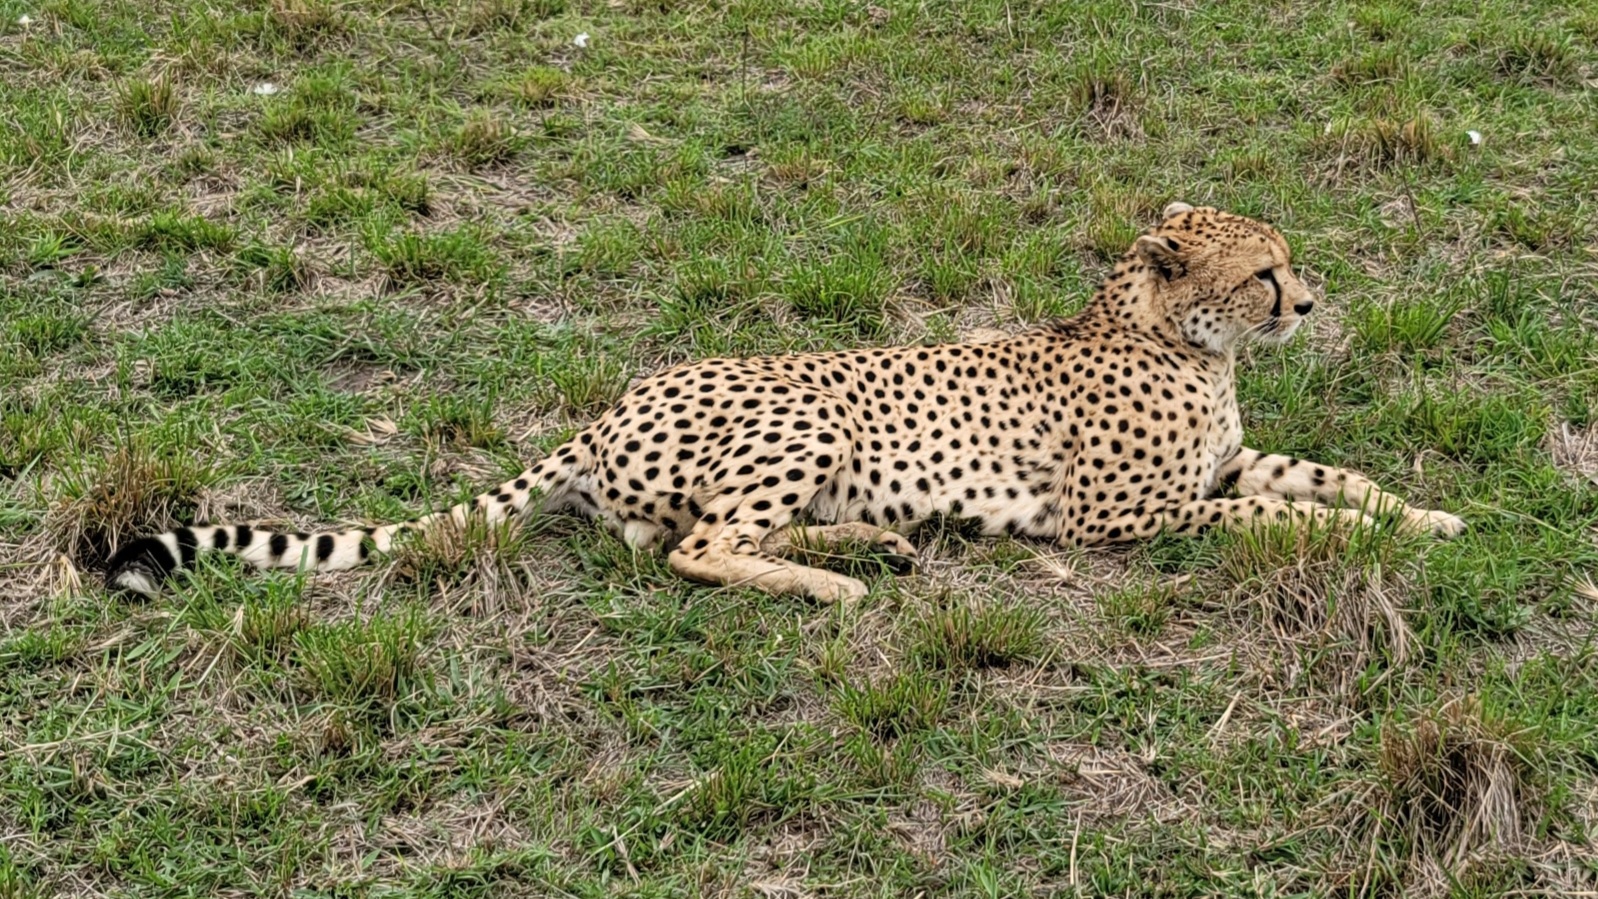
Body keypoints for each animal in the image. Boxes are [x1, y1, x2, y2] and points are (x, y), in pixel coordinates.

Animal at [104, 203, 1466, 602]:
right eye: (1262, 273)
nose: (1309, 302)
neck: (1172, 336)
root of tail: (618, 396)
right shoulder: (1126, 518)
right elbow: (1270, 516)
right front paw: (1353, 536)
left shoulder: (1218, 466)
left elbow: (1325, 476)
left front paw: (1428, 517)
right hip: (806, 413)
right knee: (696, 548)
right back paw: (838, 583)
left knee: (693, 535)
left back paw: (870, 542)